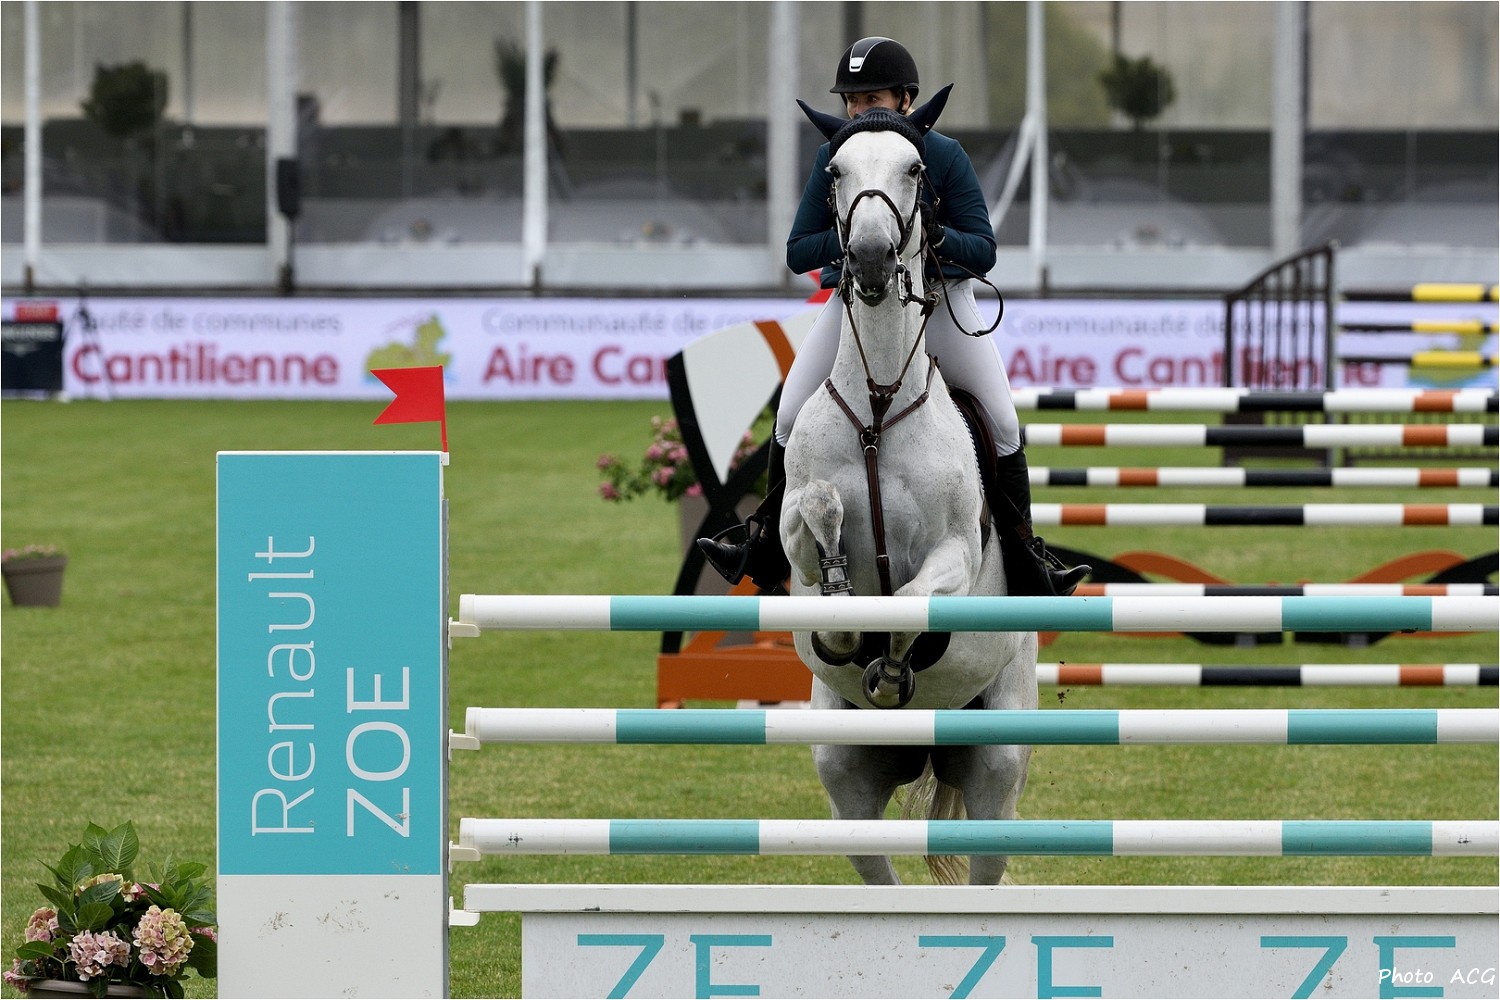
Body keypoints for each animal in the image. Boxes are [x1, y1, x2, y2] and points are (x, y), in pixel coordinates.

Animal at [780, 92, 1038, 886]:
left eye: (916, 169)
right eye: (834, 171)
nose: (867, 257)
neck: (879, 402)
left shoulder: (956, 550)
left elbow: (912, 598)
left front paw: (891, 657)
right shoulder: (793, 545)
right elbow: (813, 538)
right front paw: (842, 611)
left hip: (997, 763)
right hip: (844, 770)